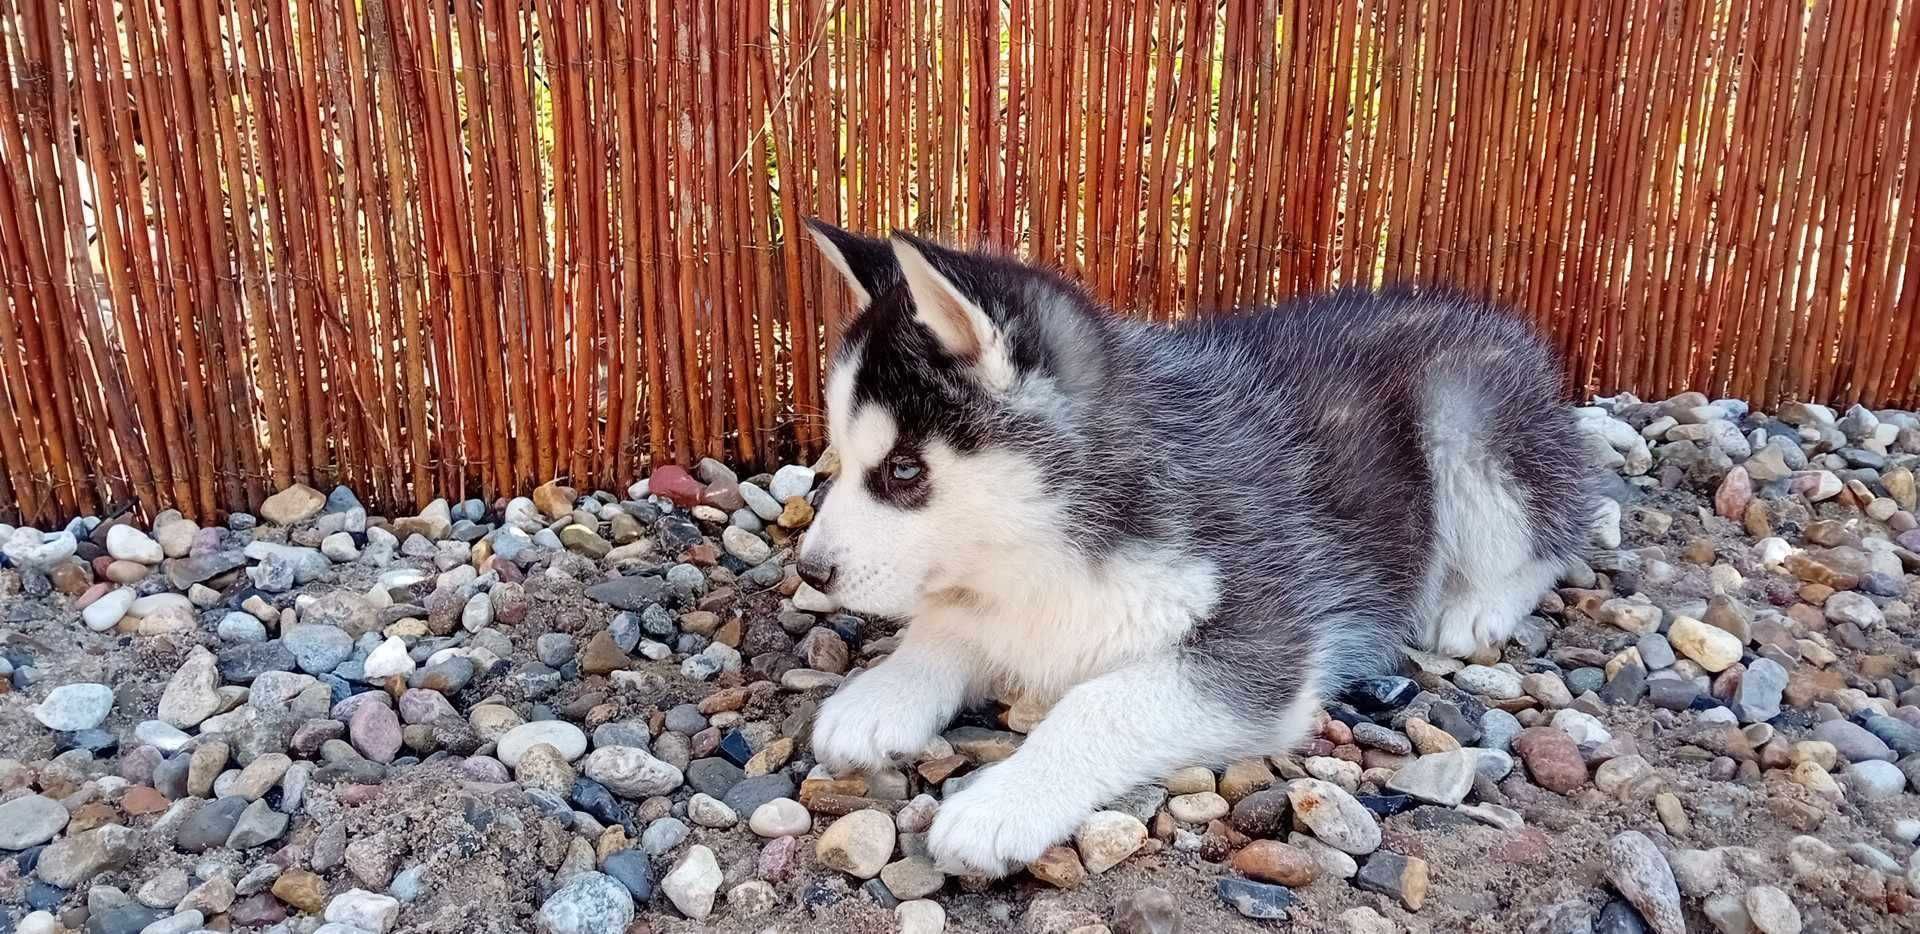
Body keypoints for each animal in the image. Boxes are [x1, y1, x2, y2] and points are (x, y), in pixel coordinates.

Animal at [794, 222, 1589, 880]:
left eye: (904, 470)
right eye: (842, 456)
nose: (810, 570)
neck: (1050, 551)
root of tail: (1482, 311)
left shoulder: (1262, 640)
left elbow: (1098, 704)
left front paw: (1003, 803)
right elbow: (954, 618)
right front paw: (885, 692)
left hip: (1464, 415)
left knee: (1559, 528)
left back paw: (1477, 606)